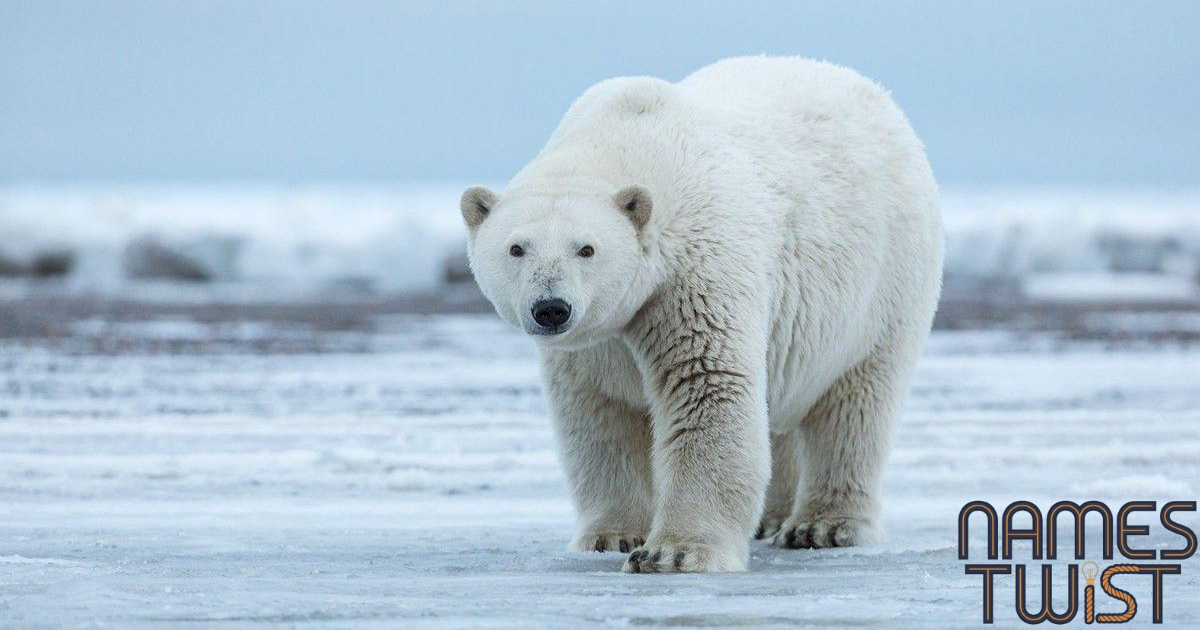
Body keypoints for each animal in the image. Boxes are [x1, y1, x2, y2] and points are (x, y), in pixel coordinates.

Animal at [463, 56, 940, 571]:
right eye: (517, 248)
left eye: (586, 248)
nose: (551, 308)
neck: (630, 138)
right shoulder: (597, 339)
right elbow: (600, 413)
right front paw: (612, 536)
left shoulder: (694, 271)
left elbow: (707, 384)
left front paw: (674, 552)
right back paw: (771, 518)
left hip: (884, 282)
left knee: (856, 403)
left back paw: (824, 526)